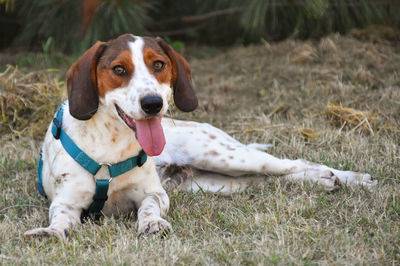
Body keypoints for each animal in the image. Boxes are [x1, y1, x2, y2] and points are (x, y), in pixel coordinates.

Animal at [24, 34, 376, 240]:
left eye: (158, 64)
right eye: (119, 70)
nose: (153, 103)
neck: (111, 148)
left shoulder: (157, 194)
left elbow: (149, 207)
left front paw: (151, 223)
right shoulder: (67, 202)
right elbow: (60, 220)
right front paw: (50, 232)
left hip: (226, 156)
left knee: (291, 163)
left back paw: (348, 178)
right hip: (212, 182)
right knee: (267, 180)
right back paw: (325, 181)